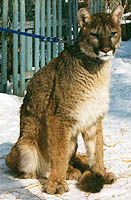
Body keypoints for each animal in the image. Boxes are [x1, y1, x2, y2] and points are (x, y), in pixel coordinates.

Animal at [5, 5, 123, 194]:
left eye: (112, 33)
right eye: (95, 34)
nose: (106, 50)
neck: (97, 70)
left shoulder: (94, 119)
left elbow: (97, 151)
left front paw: (100, 173)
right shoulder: (59, 118)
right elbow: (59, 154)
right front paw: (56, 184)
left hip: (72, 140)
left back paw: (72, 171)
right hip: (25, 146)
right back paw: (34, 174)